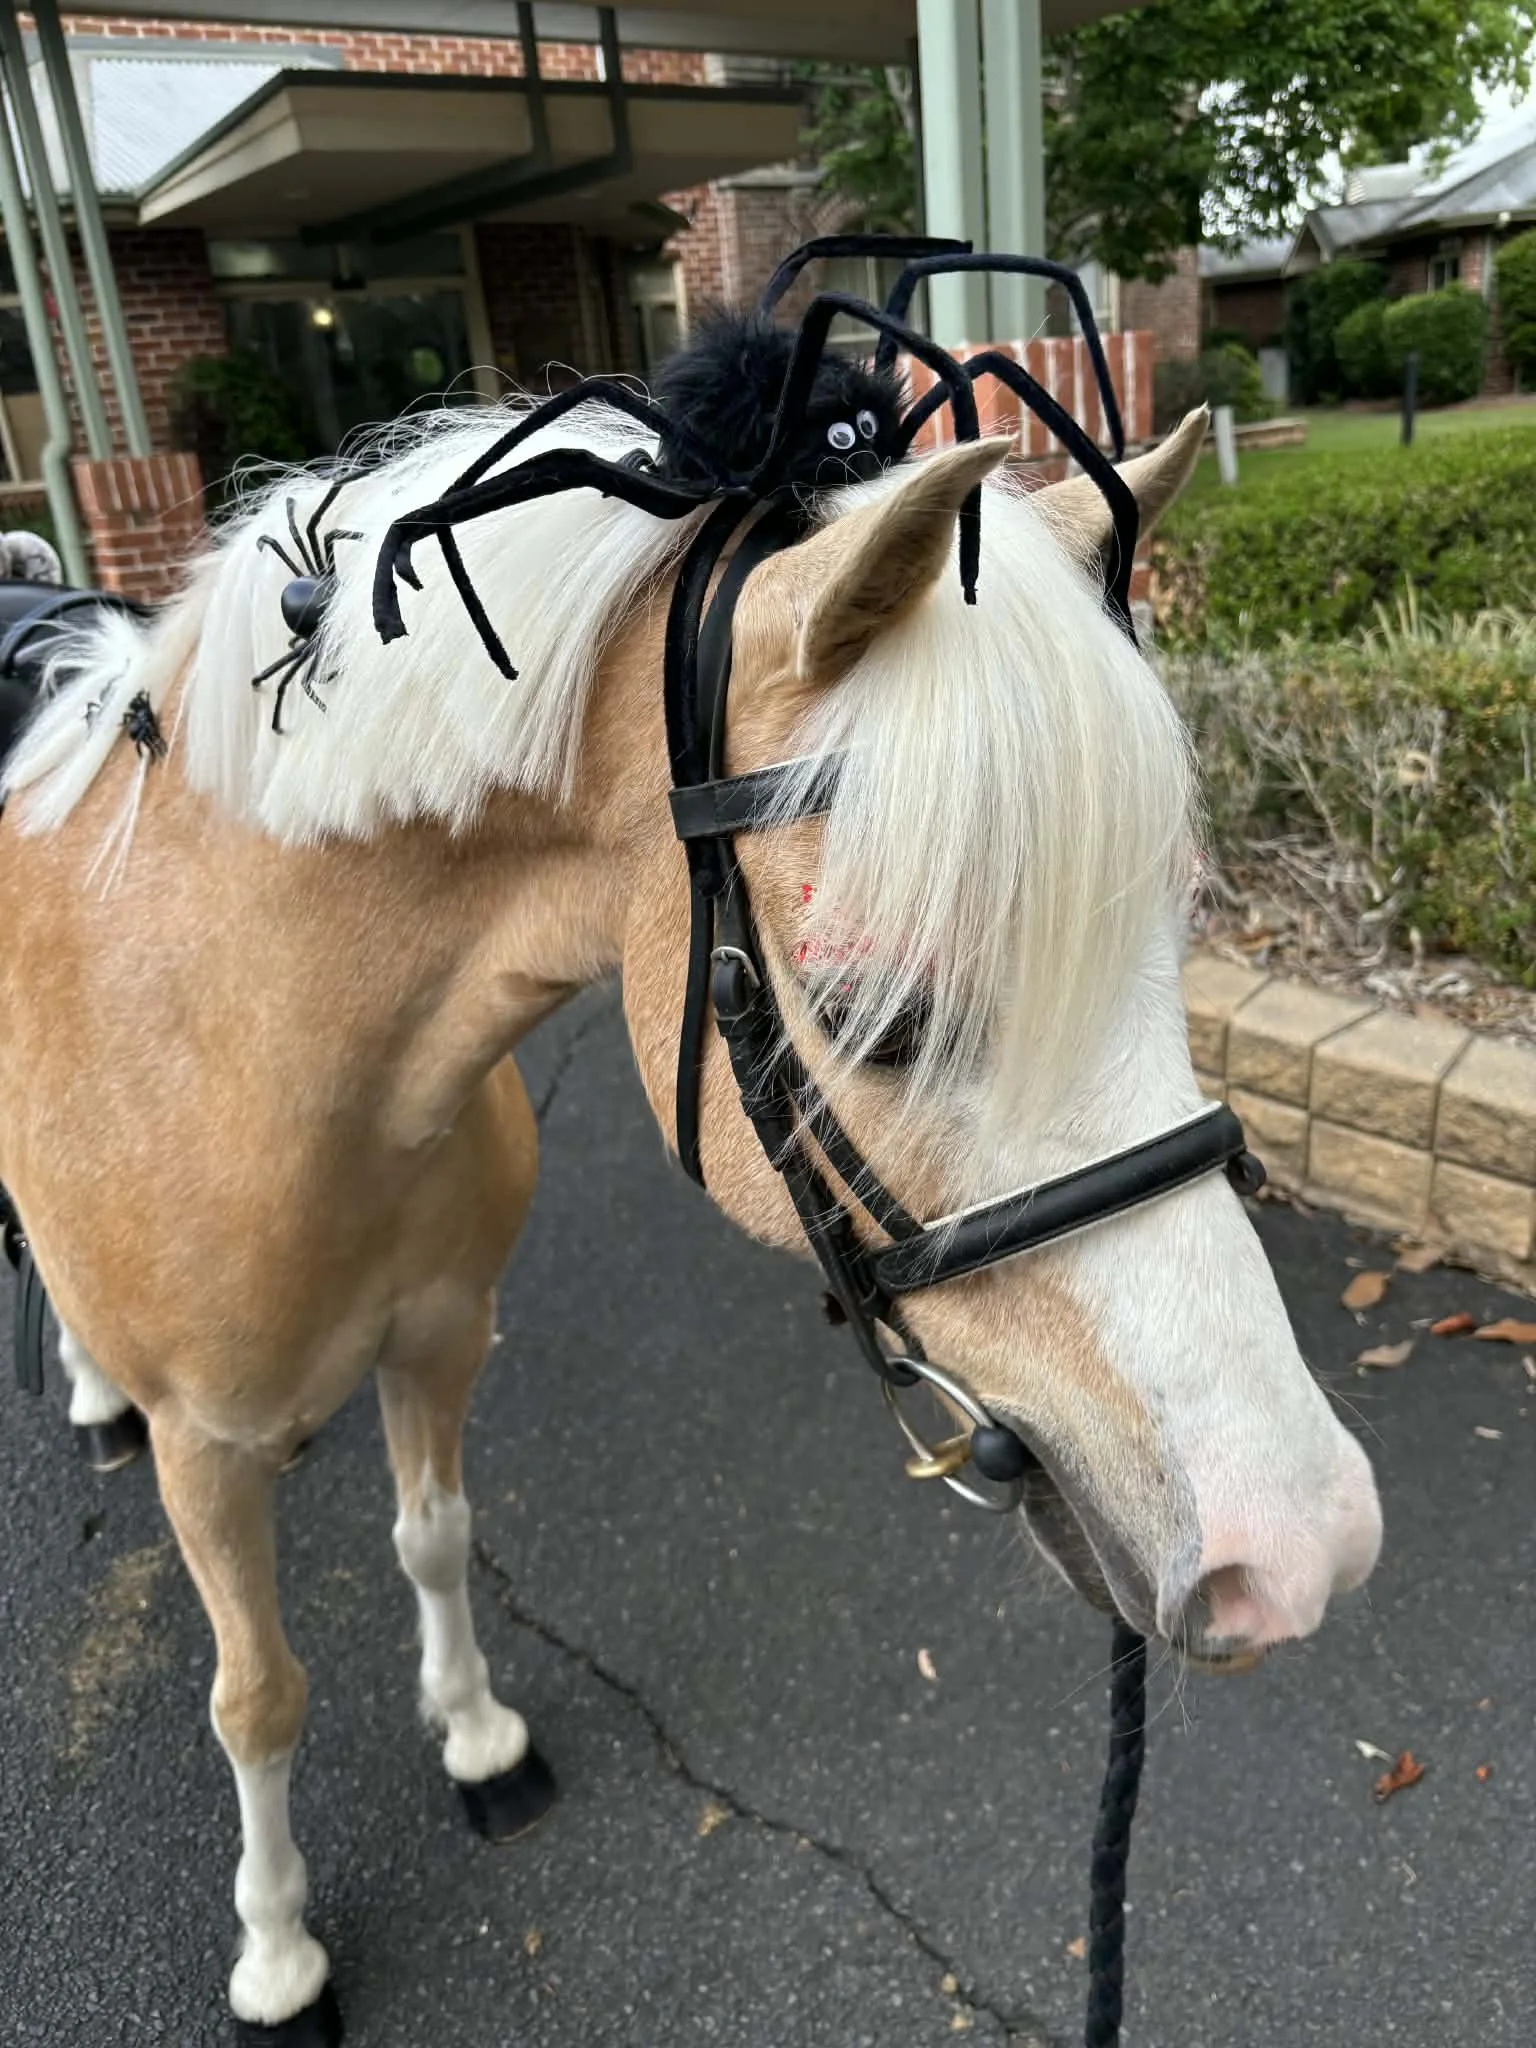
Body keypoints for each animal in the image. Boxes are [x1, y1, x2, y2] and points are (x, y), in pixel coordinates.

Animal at [0, 399, 1382, 2043]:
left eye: (1178, 935)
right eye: (877, 1016)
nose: (1300, 1545)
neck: (259, 1049)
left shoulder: (441, 1337)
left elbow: (437, 1538)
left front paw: (477, 1738)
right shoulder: (206, 1453)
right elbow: (256, 1693)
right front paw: (278, 1951)